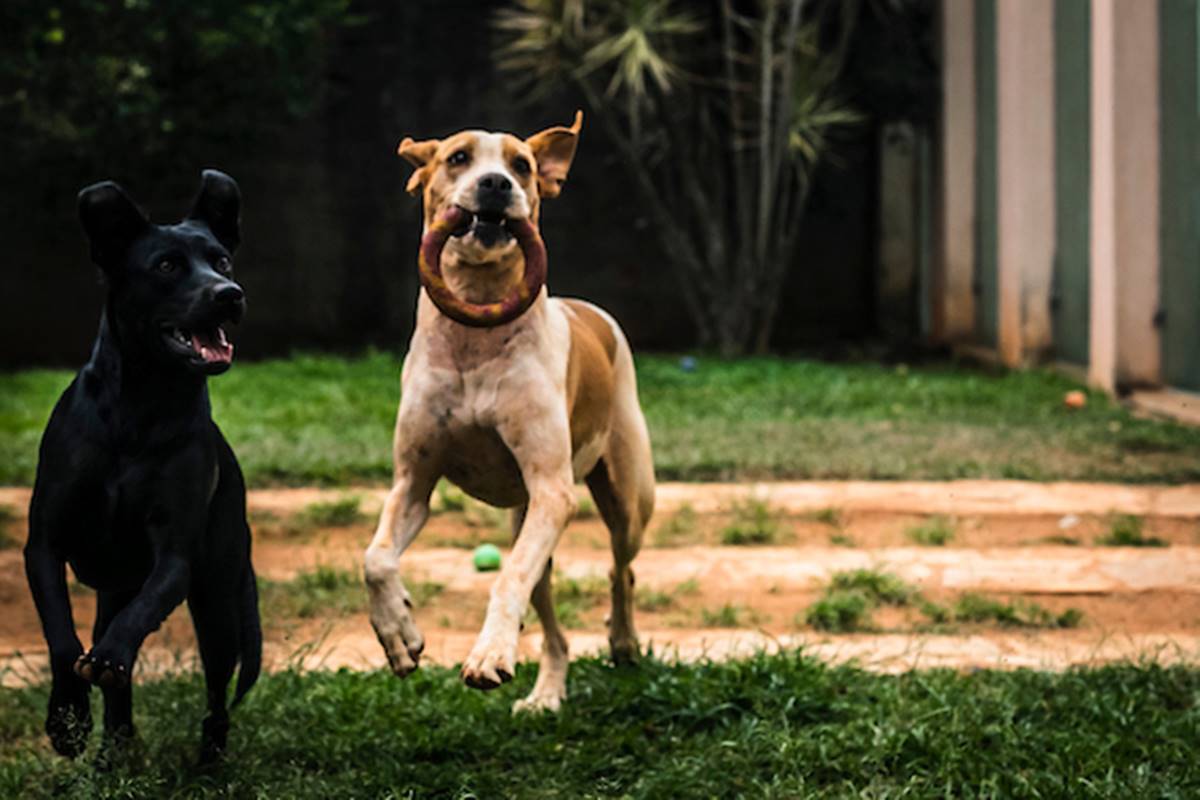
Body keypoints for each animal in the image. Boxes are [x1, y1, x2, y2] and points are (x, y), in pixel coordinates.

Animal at [24, 170, 261, 762]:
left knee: (217, 689)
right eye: (167, 267)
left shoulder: (173, 556)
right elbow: (61, 636)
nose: (230, 294)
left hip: (217, 601)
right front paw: (66, 719)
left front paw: (108, 658)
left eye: (222, 261)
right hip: (116, 587)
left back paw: (207, 756)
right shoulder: (44, 543)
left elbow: (140, 616)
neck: (141, 406)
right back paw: (114, 747)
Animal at [364, 113, 657, 714]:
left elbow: (507, 579)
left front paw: (489, 655)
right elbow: (375, 560)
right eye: (457, 157)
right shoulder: (412, 482)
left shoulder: (552, 490)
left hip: (624, 500)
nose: (497, 183)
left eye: (522, 164)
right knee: (553, 628)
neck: (476, 333)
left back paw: (622, 640)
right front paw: (400, 636)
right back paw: (546, 693)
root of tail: (589, 310)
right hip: (530, 521)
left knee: (620, 569)